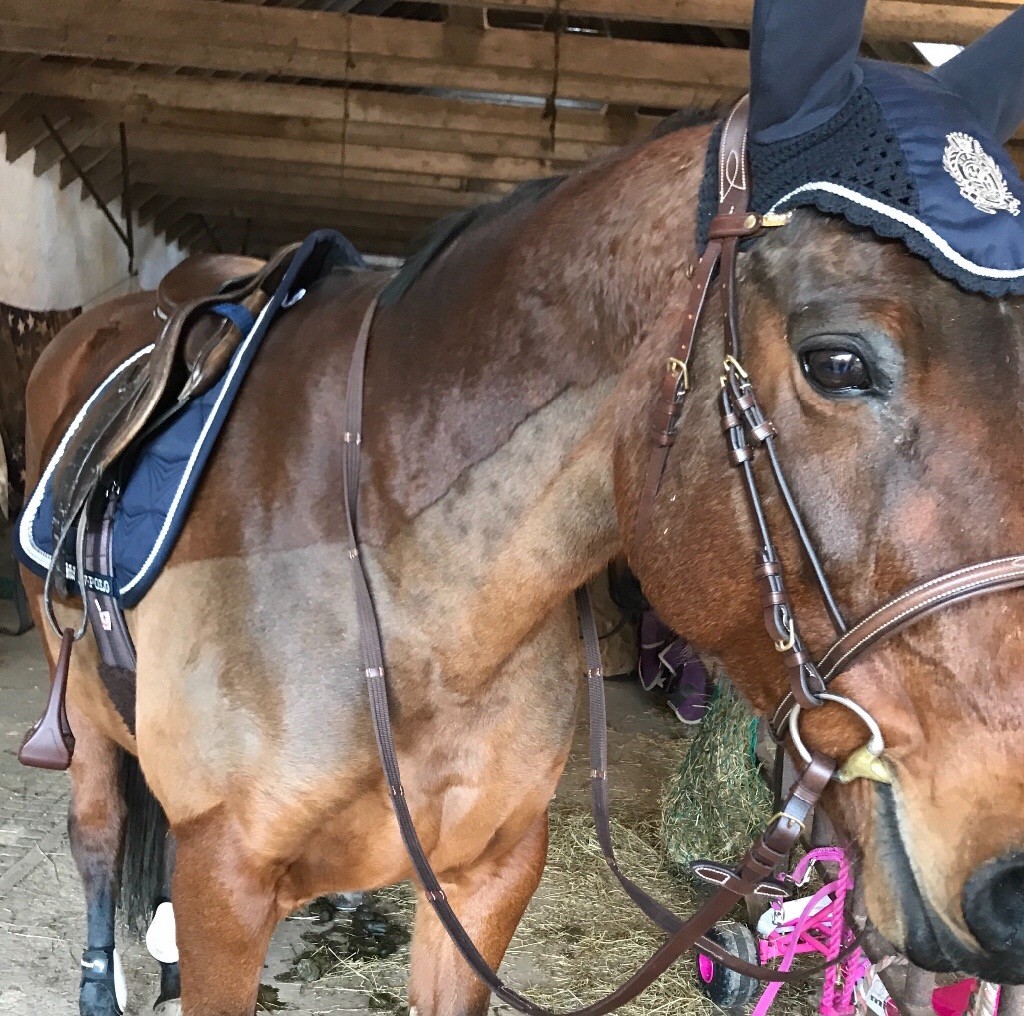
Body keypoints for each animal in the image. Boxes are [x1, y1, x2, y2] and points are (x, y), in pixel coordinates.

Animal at [20, 96, 1024, 1016]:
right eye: (837, 362)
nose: (1012, 885)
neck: (414, 610)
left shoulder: (490, 878)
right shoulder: (227, 885)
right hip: (82, 722)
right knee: (100, 837)